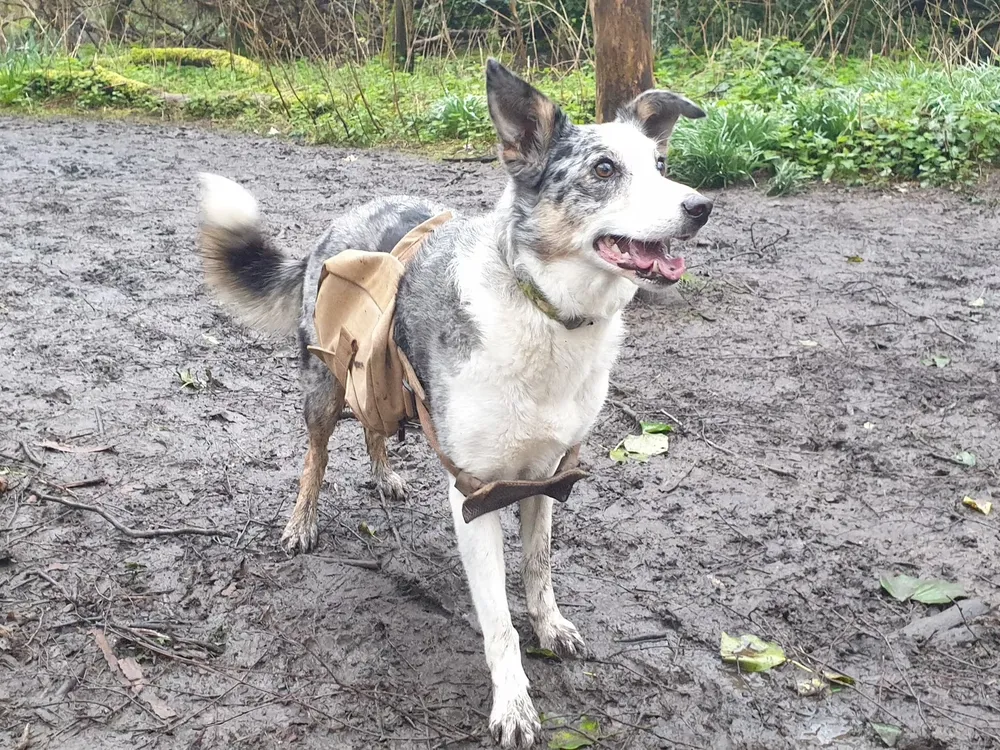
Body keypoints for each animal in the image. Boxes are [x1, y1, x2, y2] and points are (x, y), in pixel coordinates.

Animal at [197, 60, 712, 750]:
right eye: (604, 169)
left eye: (660, 163)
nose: (701, 207)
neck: (544, 312)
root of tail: (342, 219)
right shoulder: (477, 492)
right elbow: (498, 623)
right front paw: (513, 704)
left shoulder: (547, 477)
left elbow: (539, 570)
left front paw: (551, 627)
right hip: (324, 385)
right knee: (316, 456)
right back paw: (302, 522)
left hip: (380, 372)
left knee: (375, 425)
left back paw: (385, 475)